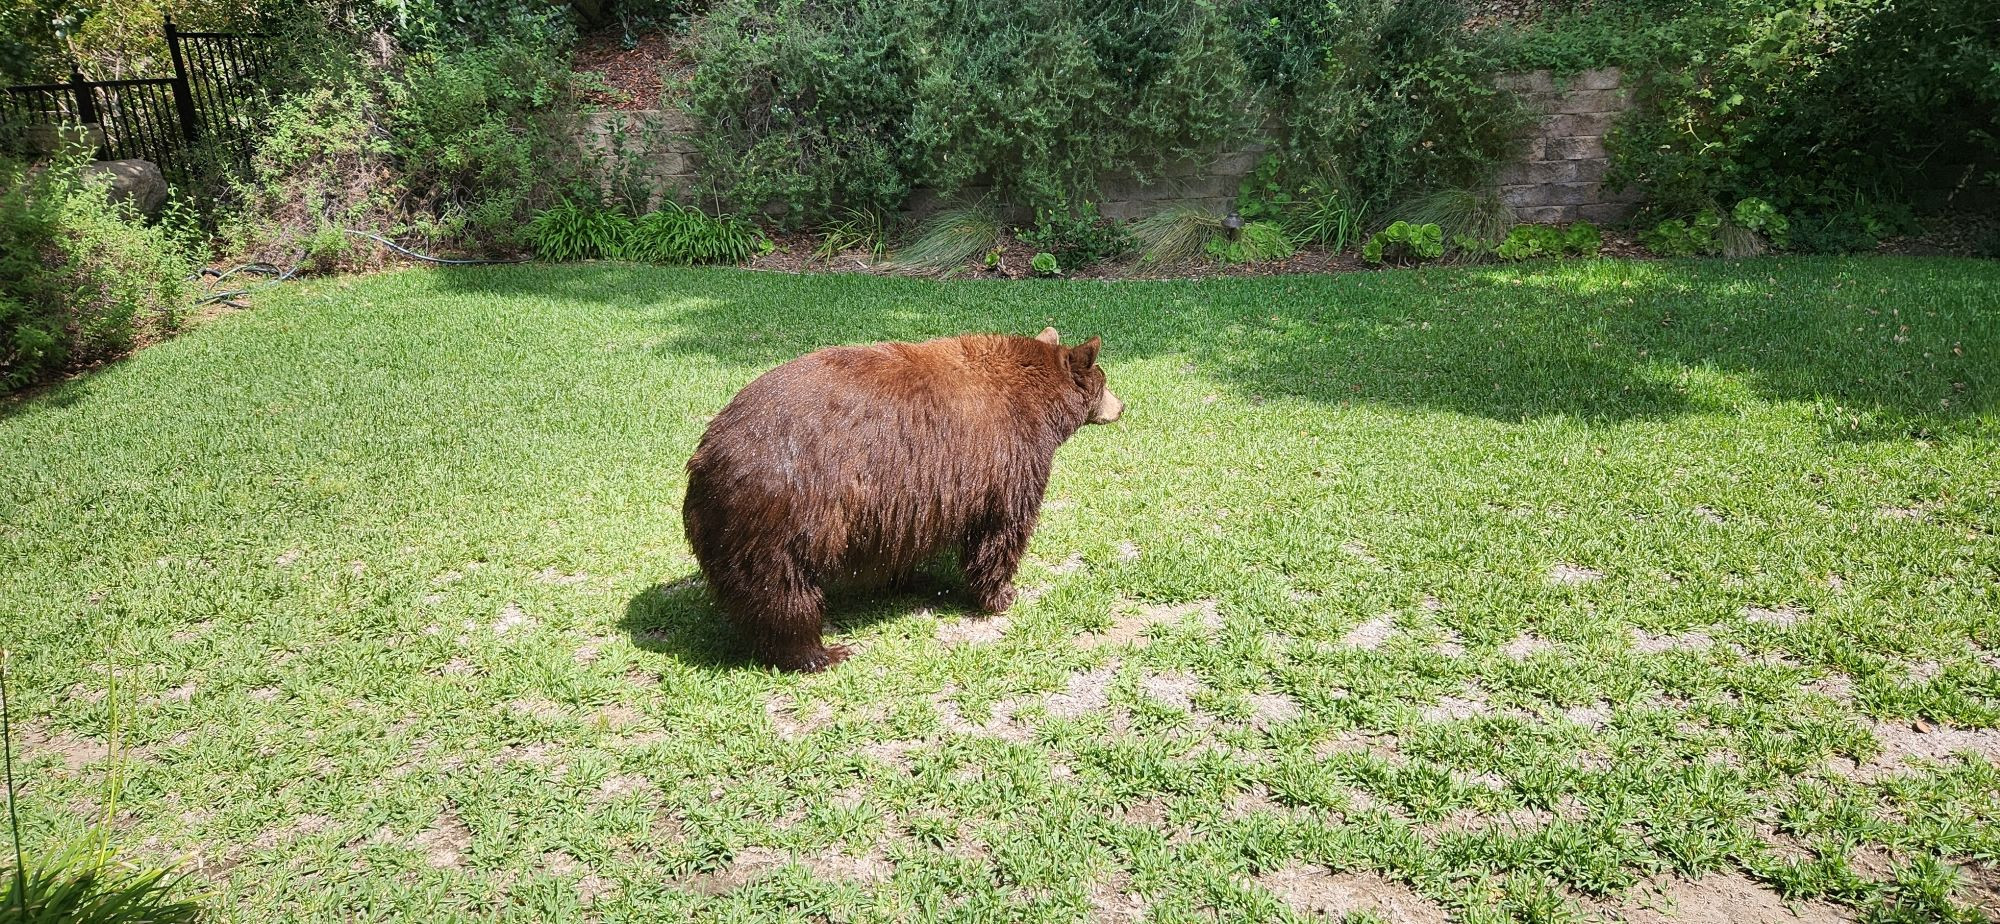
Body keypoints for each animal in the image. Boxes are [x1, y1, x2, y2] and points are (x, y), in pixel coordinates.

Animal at [684, 326, 1128, 672]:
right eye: (1105, 382)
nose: (1122, 406)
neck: (1037, 402)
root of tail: (706, 457)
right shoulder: (1006, 458)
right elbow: (1001, 529)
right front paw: (1002, 594)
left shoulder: (914, 498)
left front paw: (909, 579)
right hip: (787, 513)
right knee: (783, 590)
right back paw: (819, 653)